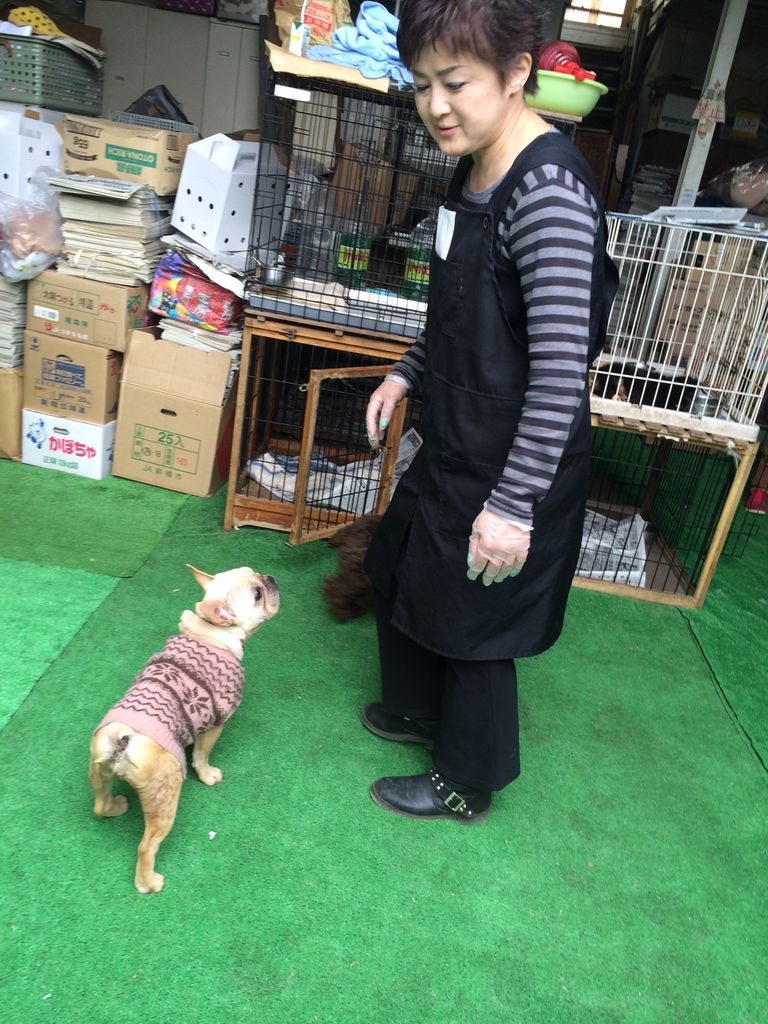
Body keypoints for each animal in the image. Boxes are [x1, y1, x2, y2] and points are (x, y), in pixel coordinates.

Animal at [89, 564, 279, 894]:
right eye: (257, 594)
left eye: (254, 571)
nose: (270, 578)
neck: (210, 632)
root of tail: (122, 739)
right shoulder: (216, 724)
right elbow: (202, 755)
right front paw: (208, 775)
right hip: (165, 796)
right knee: (146, 846)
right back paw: (149, 883)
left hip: (99, 772)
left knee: (99, 806)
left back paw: (115, 807)